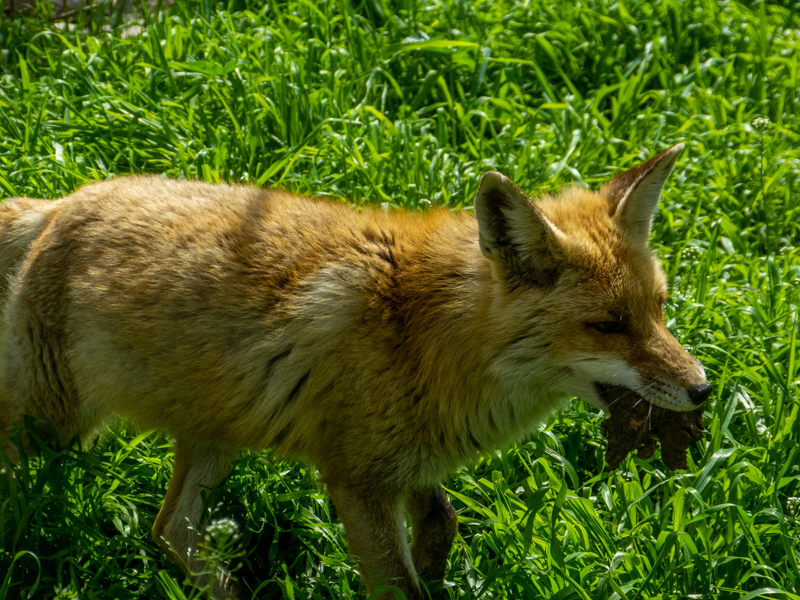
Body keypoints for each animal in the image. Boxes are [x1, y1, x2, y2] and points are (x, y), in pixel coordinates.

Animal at [0, 143, 711, 599]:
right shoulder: (355, 477)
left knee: (170, 529)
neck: (428, 335)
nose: (702, 389)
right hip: (51, 426)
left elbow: (441, 524)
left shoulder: (404, 457)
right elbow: (397, 584)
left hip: (215, 436)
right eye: (608, 325)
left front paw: (438, 573)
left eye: (659, 307)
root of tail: (66, 201)